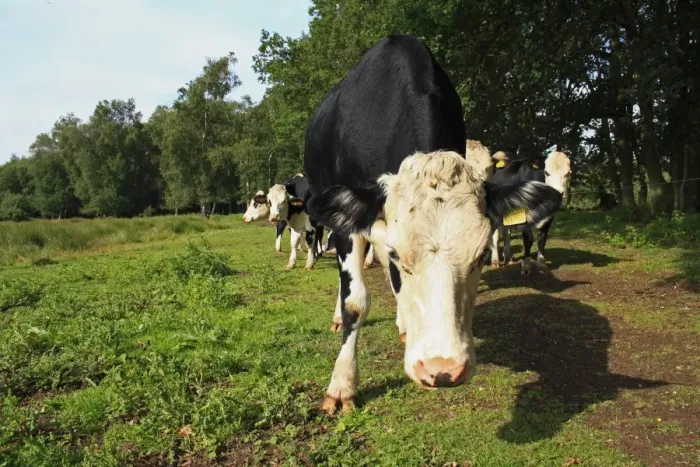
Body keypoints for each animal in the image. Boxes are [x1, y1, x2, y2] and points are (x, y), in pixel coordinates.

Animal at [303, 34, 562, 414]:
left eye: (482, 256)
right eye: (398, 254)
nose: (442, 369)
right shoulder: (350, 224)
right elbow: (355, 302)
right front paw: (342, 385)